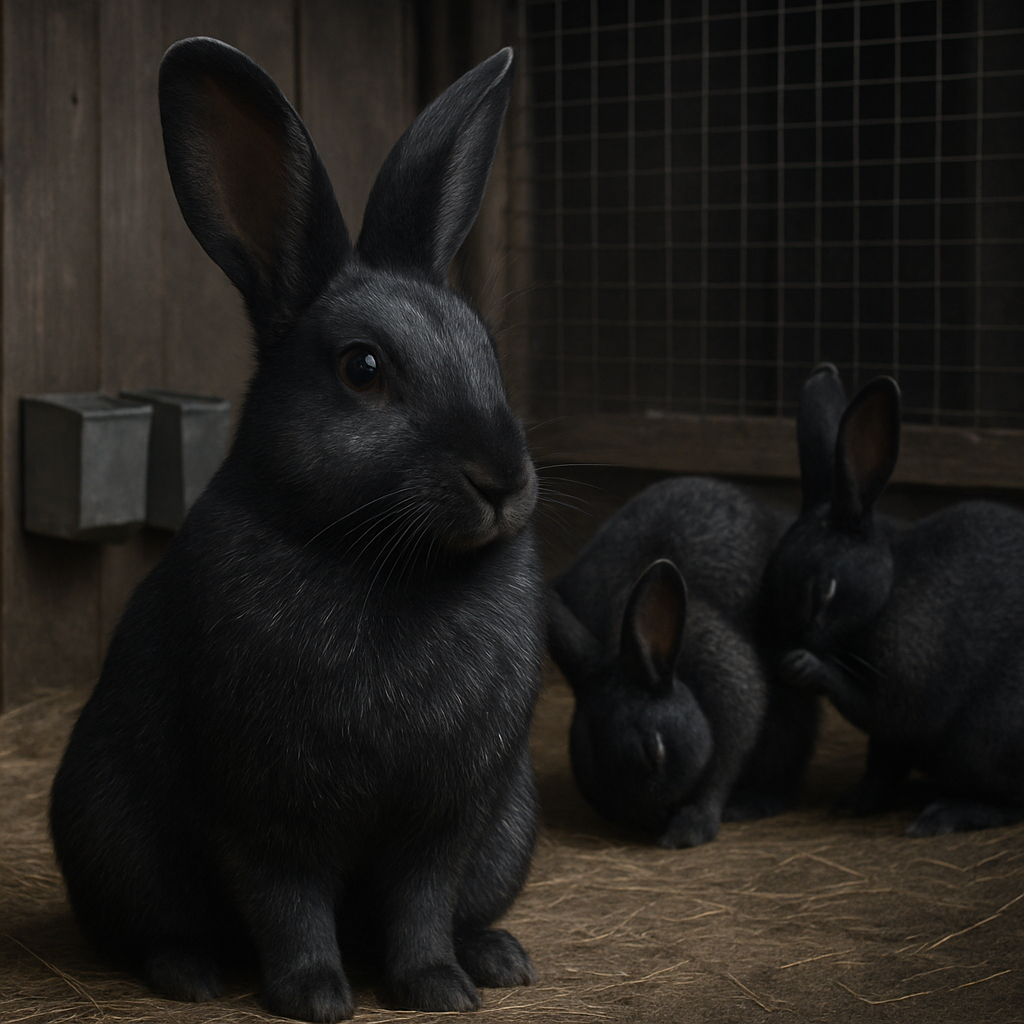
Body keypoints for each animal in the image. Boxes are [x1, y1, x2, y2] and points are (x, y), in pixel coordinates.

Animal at [49, 38, 544, 1022]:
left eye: (489, 350)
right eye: (363, 369)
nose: (502, 481)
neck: (388, 564)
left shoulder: (446, 818)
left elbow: (422, 903)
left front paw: (439, 988)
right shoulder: (263, 810)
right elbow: (290, 904)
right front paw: (317, 997)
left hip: (511, 829)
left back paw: (497, 955)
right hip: (111, 834)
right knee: (156, 930)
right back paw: (191, 974)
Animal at [547, 476, 820, 848]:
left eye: (654, 752)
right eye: (596, 789)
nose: (657, 817)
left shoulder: (729, 679)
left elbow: (722, 765)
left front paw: (688, 829)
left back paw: (753, 802)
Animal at [765, 363, 1024, 836]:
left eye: (824, 590)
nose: (782, 645)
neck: (886, 594)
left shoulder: (901, 696)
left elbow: (866, 705)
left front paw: (801, 665)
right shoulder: (889, 742)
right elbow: (881, 765)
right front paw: (855, 802)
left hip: (991, 737)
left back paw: (946, 814)